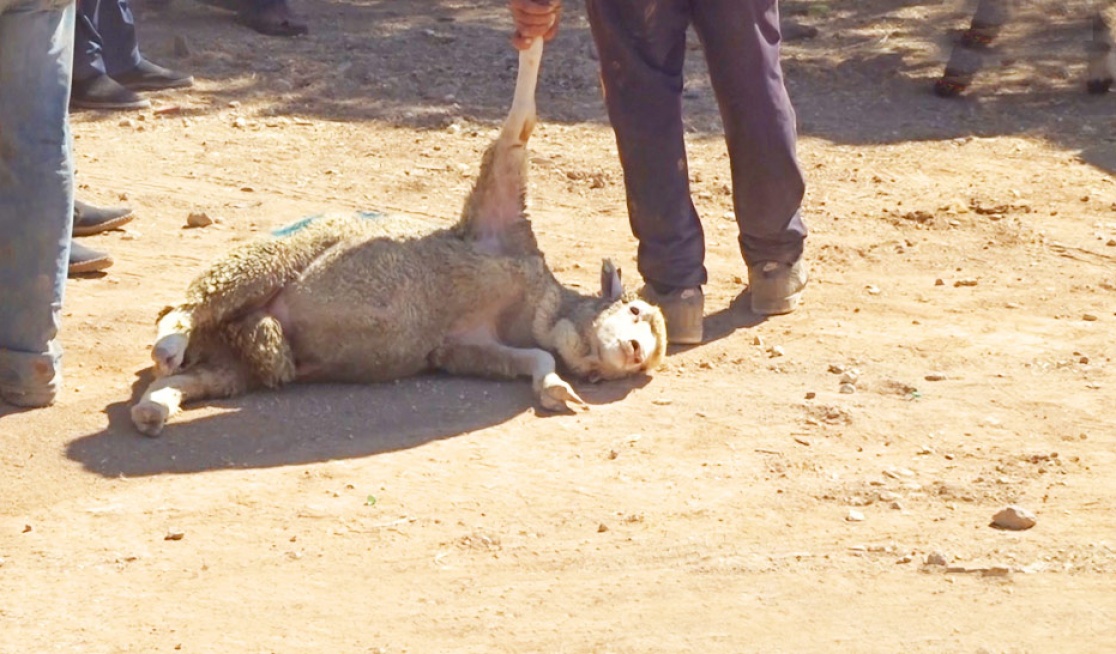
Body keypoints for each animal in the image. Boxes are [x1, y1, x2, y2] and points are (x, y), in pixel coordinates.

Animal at [130, 40, 669, 437]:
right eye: (634, 310)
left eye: (626, 369)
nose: (635, 351)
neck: (533, 303)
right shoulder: (498, 216)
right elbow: (520, 124)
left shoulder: (464, 348)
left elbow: (538, 358)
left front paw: (556, 388)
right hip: (269, 259)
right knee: (188, 307)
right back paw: (170, 341)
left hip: (241, 363)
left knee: (189, 380)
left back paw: (156, 406)